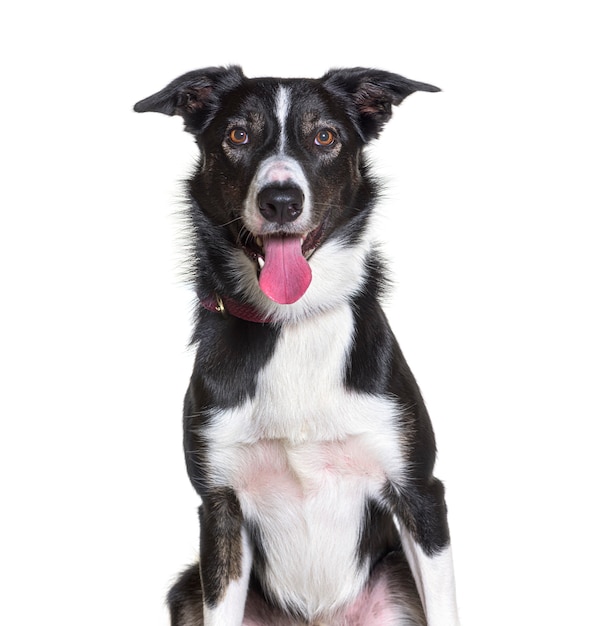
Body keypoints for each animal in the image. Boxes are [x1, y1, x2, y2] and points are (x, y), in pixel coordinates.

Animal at [134, 67, 458, 624]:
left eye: (324, 136)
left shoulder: (419, 493)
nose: (281, 200)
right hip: (186, 587)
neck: (291, 323)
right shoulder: (219, 507)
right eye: (238, 135)